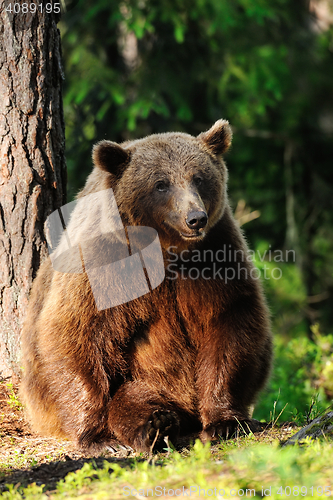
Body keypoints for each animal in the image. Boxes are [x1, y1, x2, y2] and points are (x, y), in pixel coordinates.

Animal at [20, 120, 270, 454]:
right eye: (161, 184)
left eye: (199, 178)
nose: (195, 218)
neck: (165, 249)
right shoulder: (103, 265)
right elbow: (73, 333)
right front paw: (100, 438)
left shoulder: (215, 256)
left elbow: (230, 322)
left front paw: (224, 421)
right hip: (143, 379)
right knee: (132, 397)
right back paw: (155, 424)